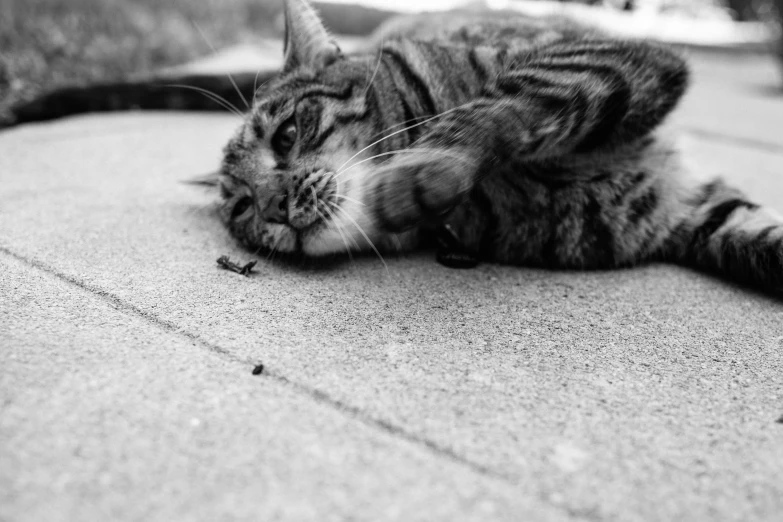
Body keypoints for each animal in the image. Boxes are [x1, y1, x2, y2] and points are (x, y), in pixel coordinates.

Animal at [7, 0, 783, 292]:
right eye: (241, 209)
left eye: (288, 134)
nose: (274, 208)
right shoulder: (690, 209)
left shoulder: (619, 61)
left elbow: (511, 100)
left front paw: (422, 168)